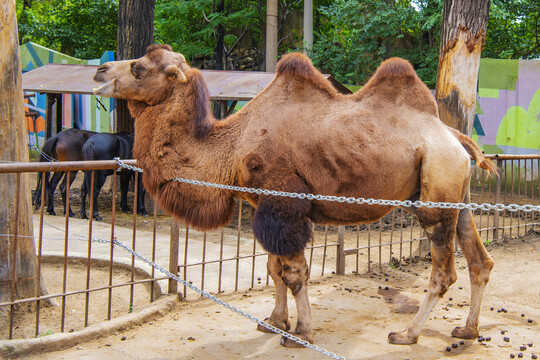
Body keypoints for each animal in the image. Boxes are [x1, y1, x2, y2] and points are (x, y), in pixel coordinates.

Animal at [94, 43, 498, 348]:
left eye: (139, 67)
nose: (99, 71)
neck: (232, 144)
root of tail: (457, 138)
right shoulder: (265, 204)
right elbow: (274, 269)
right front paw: (274, 322)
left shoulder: (283, 202)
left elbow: (295, 273)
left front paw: (301, 333)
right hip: (454, 194)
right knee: (480, 261)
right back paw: (468, 330)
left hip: (436, 192)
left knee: (444, 272)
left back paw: (407, 334)